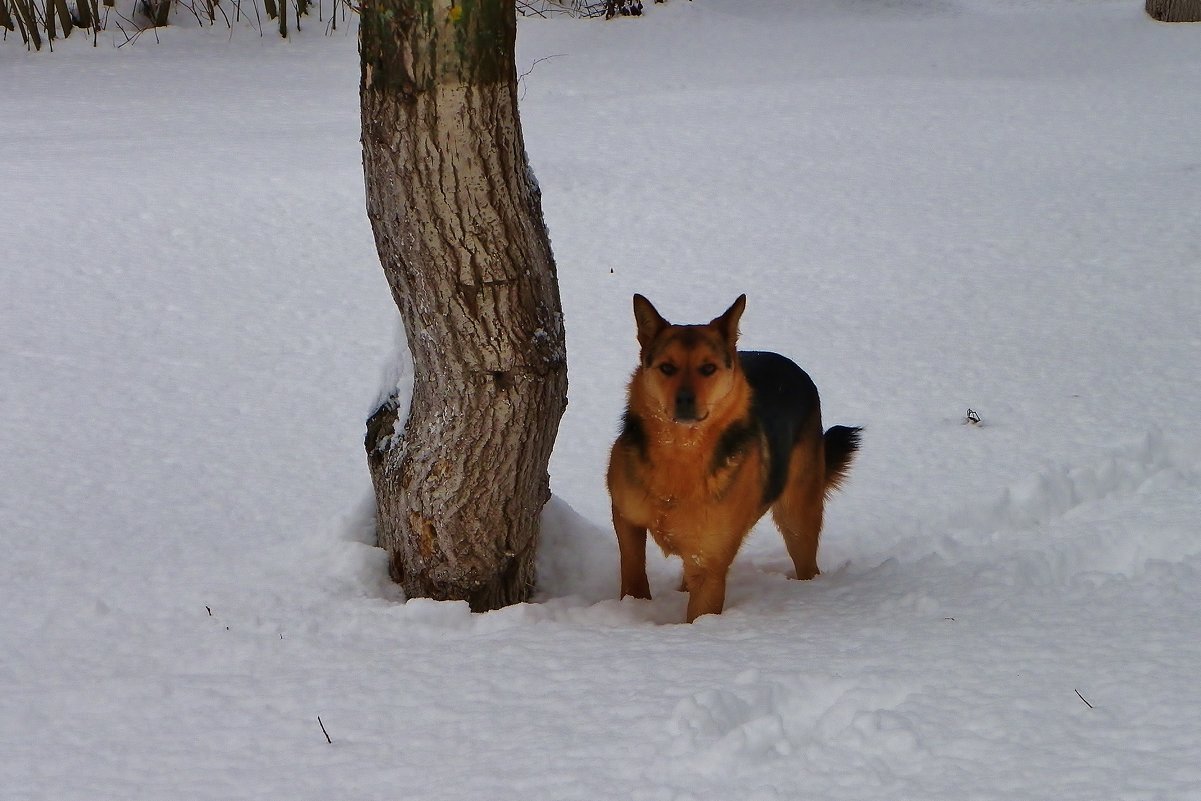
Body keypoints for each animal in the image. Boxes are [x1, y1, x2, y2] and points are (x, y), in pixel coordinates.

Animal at [605, 296, 859, 624]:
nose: (684, 399)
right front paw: (634, 604)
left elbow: (700, 611)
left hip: (798, 513)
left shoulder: (711, 562)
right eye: (667, 368)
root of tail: (791, 365)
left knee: (806, 559)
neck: (681, 452)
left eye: (708, 368)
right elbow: (633, 565)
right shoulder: (625, 514)